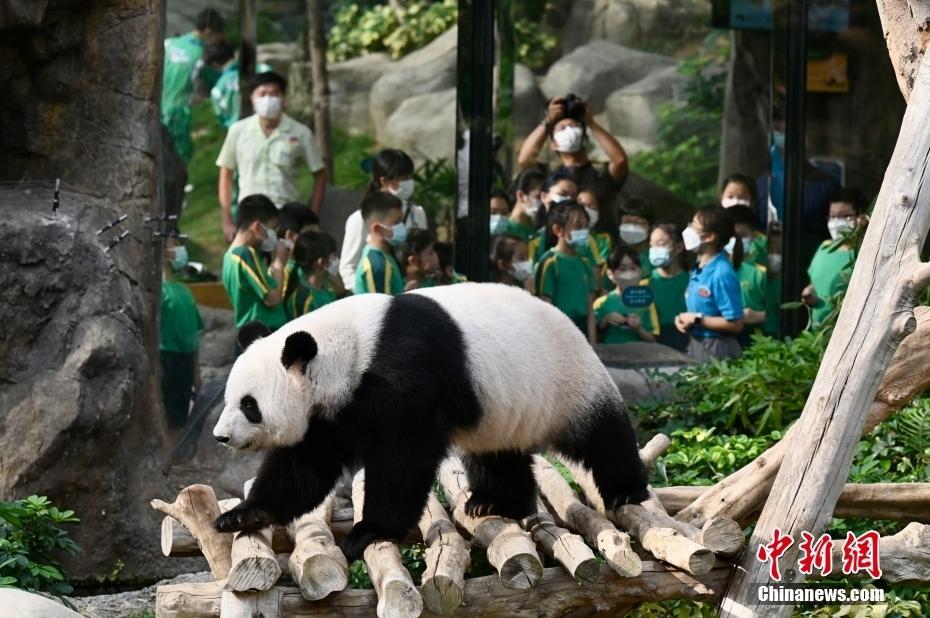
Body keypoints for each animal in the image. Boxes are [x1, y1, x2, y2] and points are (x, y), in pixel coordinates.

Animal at [212, 282, 644, 560]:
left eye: (249, 405)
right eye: (229, 398)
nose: (220, 437)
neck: (347, 348)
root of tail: (575, 326)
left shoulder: (404, 375)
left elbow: (402, 459)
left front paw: (369, 531)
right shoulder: (331, 411)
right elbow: (305, 466)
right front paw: (242, 514)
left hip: (564, 381)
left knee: (600, 436)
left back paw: (625, 491)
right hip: (501, 408)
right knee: (496, 451)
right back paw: (495, 501)